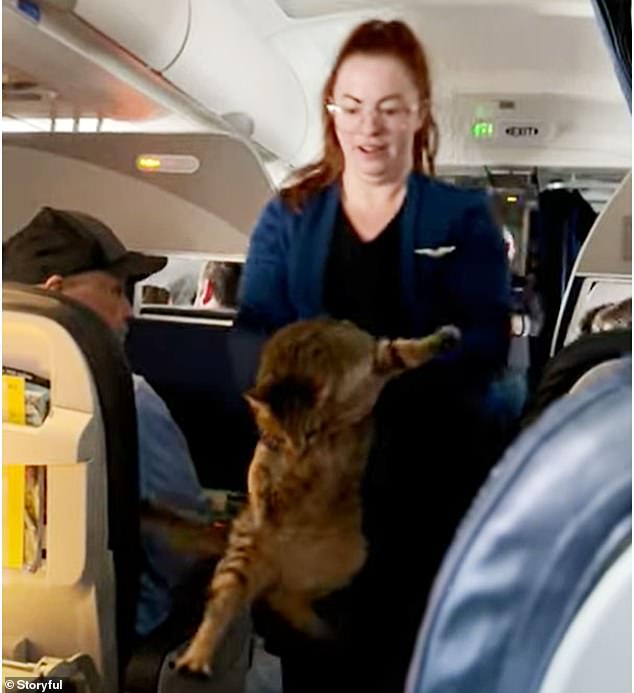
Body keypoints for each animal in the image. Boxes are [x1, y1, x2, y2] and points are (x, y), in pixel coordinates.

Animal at [175, 318, 456, 672]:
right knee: (222, 607)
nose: (298, 453)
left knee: (284, 598)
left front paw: (440, 341)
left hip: (350, 557)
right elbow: (262, 469)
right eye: (278, 438)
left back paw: (322, 632)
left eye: (309, 434)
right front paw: (268, 488)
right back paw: (195, 657)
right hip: (240, 562)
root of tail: (277, 566)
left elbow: (402, 351)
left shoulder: (371, 368)